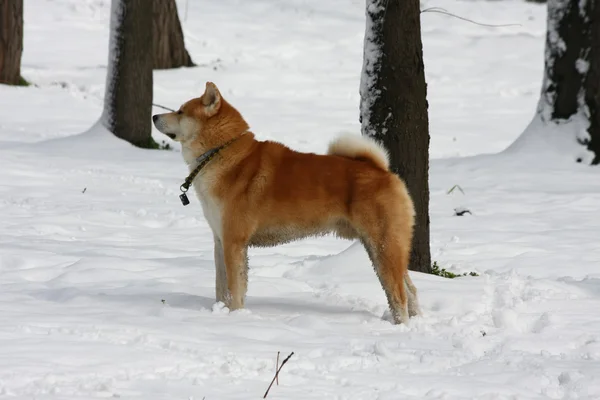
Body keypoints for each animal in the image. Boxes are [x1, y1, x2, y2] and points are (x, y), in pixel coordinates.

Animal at [152, 82, 420, 324]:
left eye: (180, 111)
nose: (154, 115)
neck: (220, 153)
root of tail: (382, 171)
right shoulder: (220, 240)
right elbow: (221, 286)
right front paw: (219, 311)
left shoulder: (233, 242)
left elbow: (234, 288)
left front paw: (235, 316)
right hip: (380, 248)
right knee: (410, 290)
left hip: (382, 246)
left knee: (399, 295)